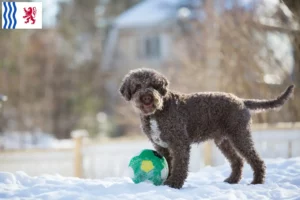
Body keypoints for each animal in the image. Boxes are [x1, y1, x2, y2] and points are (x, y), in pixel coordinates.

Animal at [119, 68, 292, 188]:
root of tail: (241, 101)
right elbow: (168, 164)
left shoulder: (179, 143)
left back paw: (257, 181)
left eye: (154, 85)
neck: (158, 111)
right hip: (224, 141)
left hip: (240, 136)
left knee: (256, 160)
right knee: (238, 161)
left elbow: (180, 165)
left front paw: (174, 184)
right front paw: (167, 181)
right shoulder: (162, 146)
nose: (147, 96)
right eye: (137, 86)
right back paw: (232, 180)